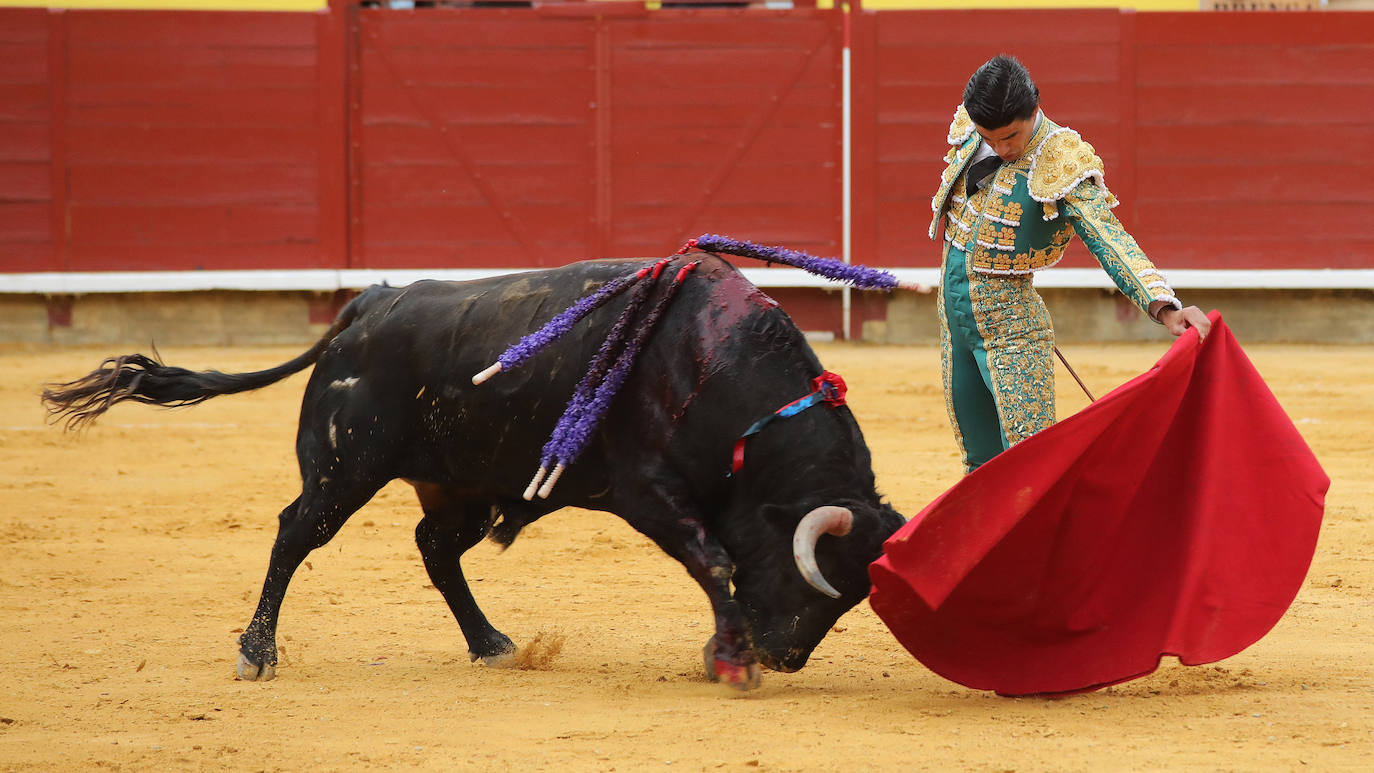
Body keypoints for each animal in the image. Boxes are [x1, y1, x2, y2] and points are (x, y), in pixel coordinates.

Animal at [42, 256, 906, 691]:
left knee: (434, 547)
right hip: (344, 468)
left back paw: (490, 642)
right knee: (294, 533)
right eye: (811, 580)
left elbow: (715, 561)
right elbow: (713, 557)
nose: (785, 657)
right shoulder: (646, 490)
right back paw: (256, 652)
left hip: (462, 483)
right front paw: (729, 657)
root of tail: (365, 308)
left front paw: (724, 651)